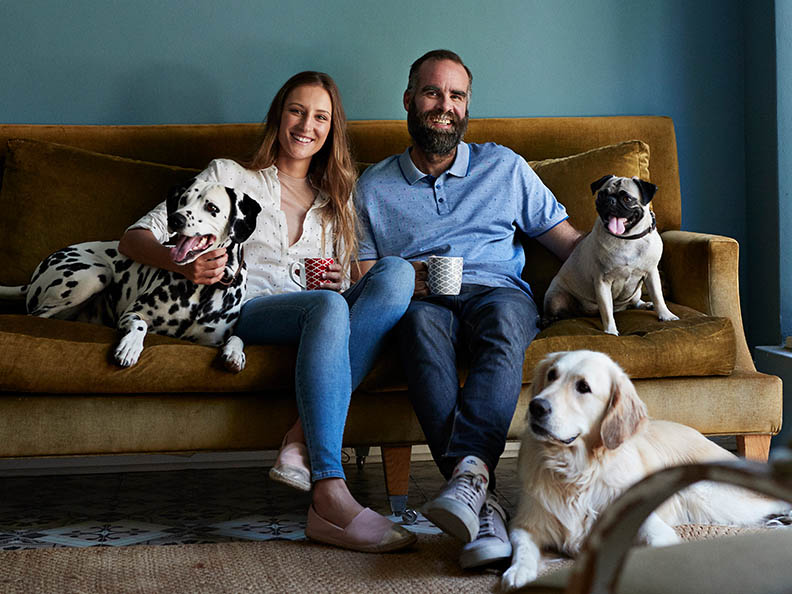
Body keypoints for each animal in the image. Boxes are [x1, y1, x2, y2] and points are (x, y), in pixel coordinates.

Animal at [1, 178, 264, 368]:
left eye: (211, 207)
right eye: (183, 200)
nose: (175, 219)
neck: (202, 290)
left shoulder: (210, 341)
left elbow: (237, 337)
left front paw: (235, 354)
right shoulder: (133, 313)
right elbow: (140, 326)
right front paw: (129, 347)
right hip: (93, 275)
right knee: (35, 316)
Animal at [502, 350, 784, 588]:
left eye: (583, 387)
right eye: (551, 375)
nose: (536, 406)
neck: (578, 472)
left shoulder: (649, 524)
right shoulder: (525, 523)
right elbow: (523, 548)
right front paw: (518, 572)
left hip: (707, 495)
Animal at [544, 175, 680, 332]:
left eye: (627, 199)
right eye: (602, 195)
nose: (610, 201)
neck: (627, 239)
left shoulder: (651, 273)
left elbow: (658, 297)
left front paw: (666, 315)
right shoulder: (602, 282)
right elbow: (606, 311)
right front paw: (610, 331)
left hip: (637, 291)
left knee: (634, 301)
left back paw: (644, 304)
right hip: (555, 297)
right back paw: (548, 320)